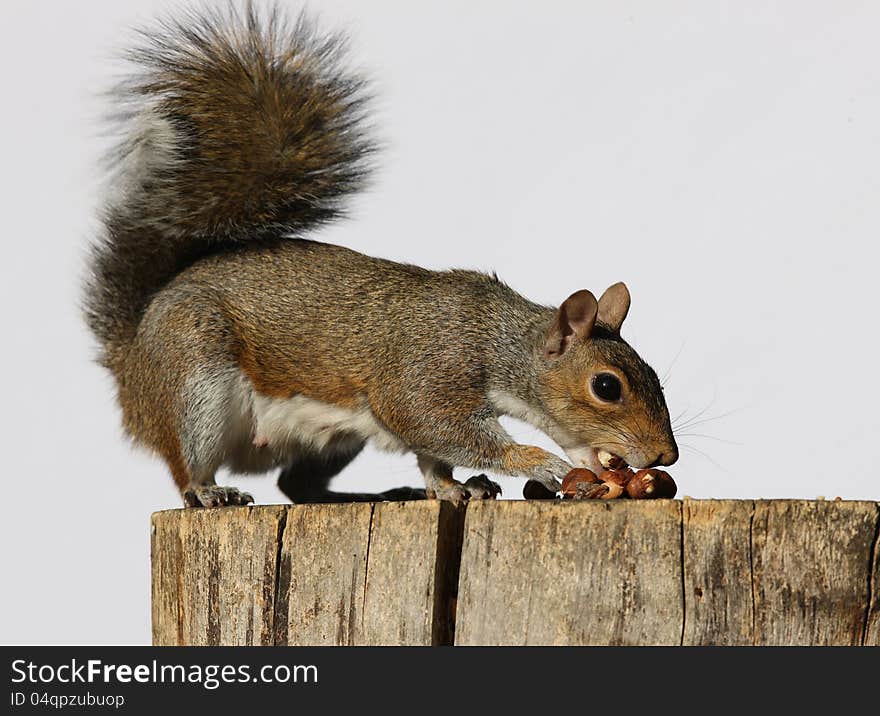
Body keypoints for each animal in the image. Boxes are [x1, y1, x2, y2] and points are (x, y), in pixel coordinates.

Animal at [82, 5, 676, 510]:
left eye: (655, 377)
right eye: (606, 386)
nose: (665, 456)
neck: (495, 338)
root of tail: (131, 357)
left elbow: (433, 455)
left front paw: (453, 487)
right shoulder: (425, 376)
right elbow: (437, 427)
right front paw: (538, 461)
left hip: (332, 440)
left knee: (298, 487)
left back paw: (372, 495)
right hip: (192, 382)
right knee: (188, 465)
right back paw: (210, 491)